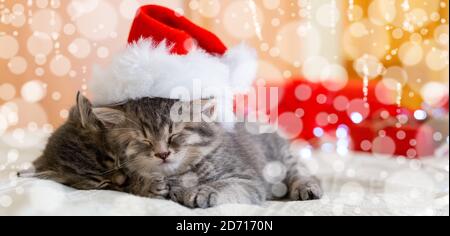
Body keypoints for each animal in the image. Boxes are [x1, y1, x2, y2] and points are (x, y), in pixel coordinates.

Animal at [97, 97, 324, 207]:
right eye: (145, 140)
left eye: (174, 135)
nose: (162, 154)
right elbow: (135, 184)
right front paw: (149, 185)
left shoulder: (248, 179)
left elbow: (225, 185)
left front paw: (202, 191)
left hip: (281, 158)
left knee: (300, 172)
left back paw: (307, 187)